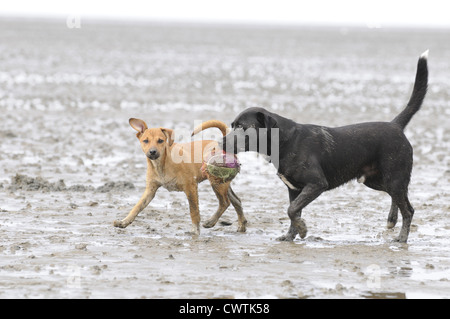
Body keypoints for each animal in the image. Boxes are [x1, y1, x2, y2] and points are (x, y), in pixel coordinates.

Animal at [112, 119, 246, 236]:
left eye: (160, 141)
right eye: (145, 141)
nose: (152, 152)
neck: (162, 163)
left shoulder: (190, 187)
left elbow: (194, 211)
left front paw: (195, 231)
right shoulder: (150, 190)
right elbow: (137, 207)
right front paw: (124, 221)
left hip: (217, 182)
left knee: (225, 202)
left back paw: (211, 222)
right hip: (223, 183)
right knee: (236, 200)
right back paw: (242, 226)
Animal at [199, 52, 428, 242]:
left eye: (243, 127)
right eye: (232, 125)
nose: (220, 142)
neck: (285, 141)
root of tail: (395, 125)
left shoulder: (316, 184)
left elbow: (292, 210)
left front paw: (302, 230)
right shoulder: (294, 189)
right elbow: (293, 210)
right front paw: (290, 235)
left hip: (393, 176)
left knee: (409, 209)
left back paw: (402, 238)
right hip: (374, 180)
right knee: (398, 198)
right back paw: (392, 220)